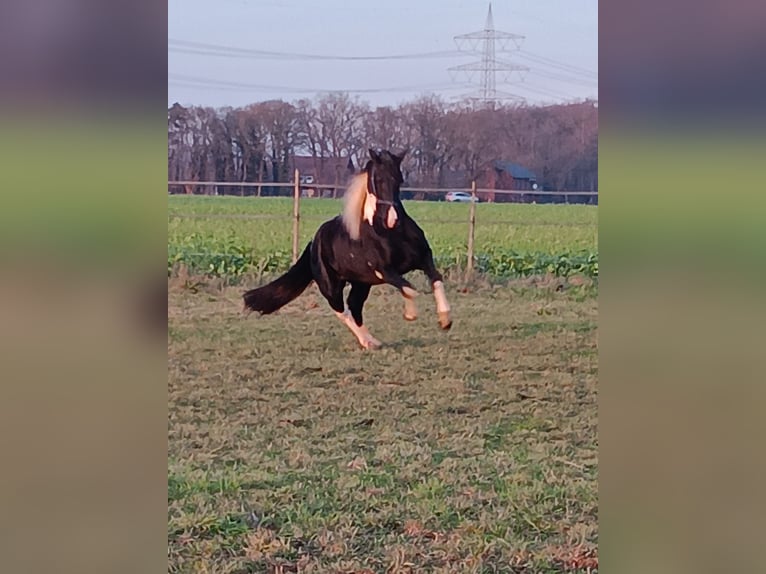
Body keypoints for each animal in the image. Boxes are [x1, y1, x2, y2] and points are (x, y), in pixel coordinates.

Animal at [243, 147, 452, 352]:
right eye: (378, 180)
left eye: (399, 179)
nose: (392, 219)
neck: (390, 233)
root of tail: (314, 241)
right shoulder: (385, 271)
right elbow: (410, 289)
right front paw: (410, 314)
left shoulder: (424, 258)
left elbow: (436, 279)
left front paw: (445, 321)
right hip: (331, 286)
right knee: (341, 310)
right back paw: (367, 342)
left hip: (362, 282)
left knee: (354, 306)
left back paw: (372, 341)